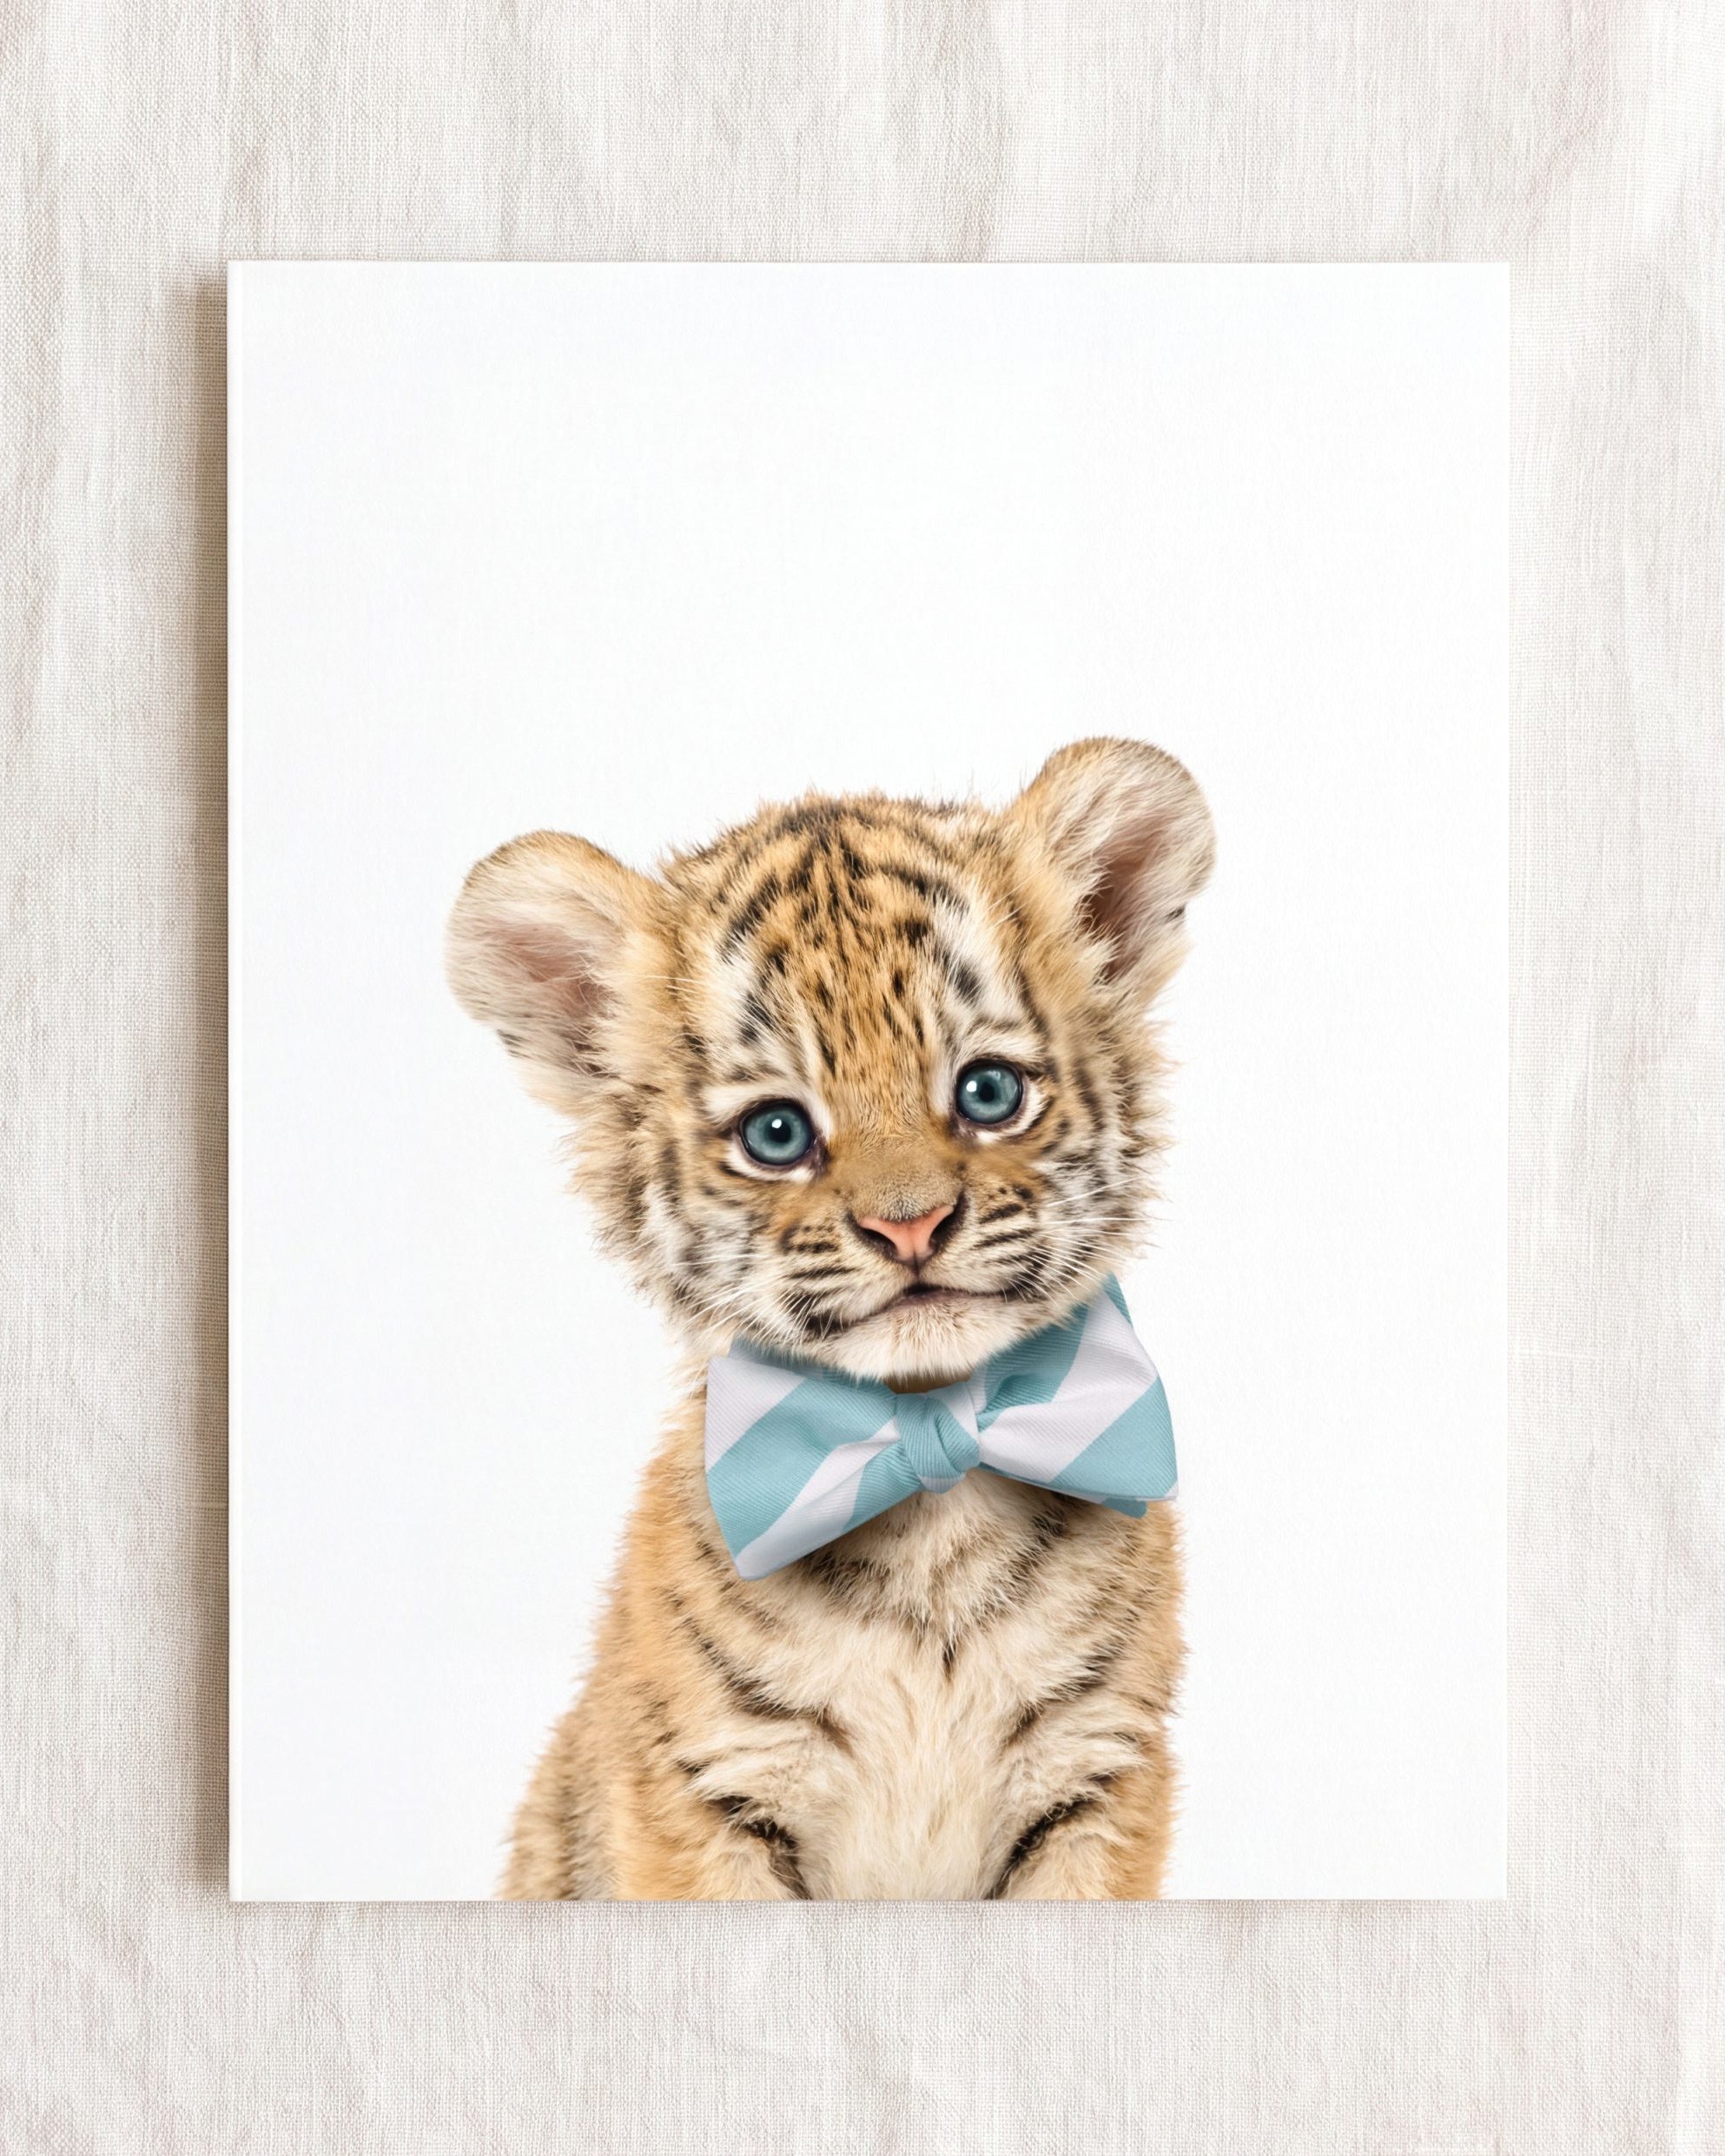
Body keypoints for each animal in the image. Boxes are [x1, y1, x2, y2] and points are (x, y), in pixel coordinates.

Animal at [446, 736, 1215, 1898]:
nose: (911, 1225)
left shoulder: (1097, 1775)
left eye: (988, 1092)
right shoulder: (703, 1795)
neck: (930, 1499)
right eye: (776, 1132)